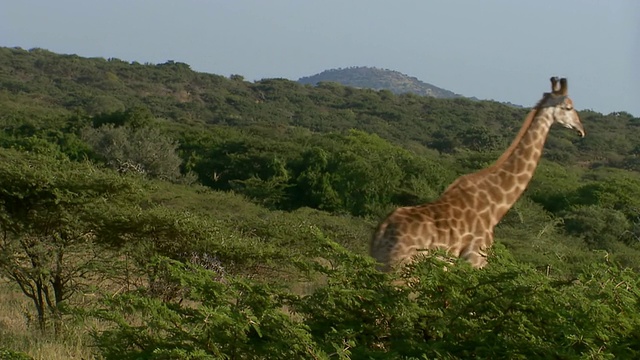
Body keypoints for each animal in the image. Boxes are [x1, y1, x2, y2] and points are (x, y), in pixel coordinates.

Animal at [370, 77, 584, 272]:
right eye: (568, 107)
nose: (581, 130)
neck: (495, 206)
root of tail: (381, 232)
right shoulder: (476, 259)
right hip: (402, 269)